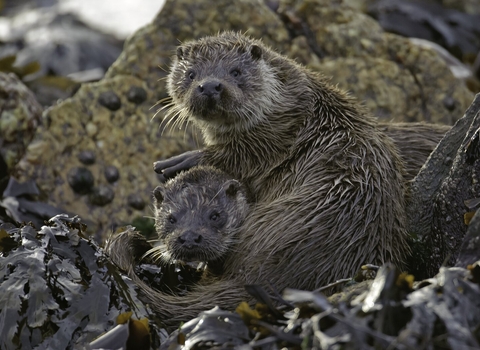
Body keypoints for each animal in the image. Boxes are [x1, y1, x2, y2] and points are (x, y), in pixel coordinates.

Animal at [111, 32, 408, 330]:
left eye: (236, 71)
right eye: (191, 73)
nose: (210, 86)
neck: (288, 108)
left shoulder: (274, 139)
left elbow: (238, 156)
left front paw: (182, 160)